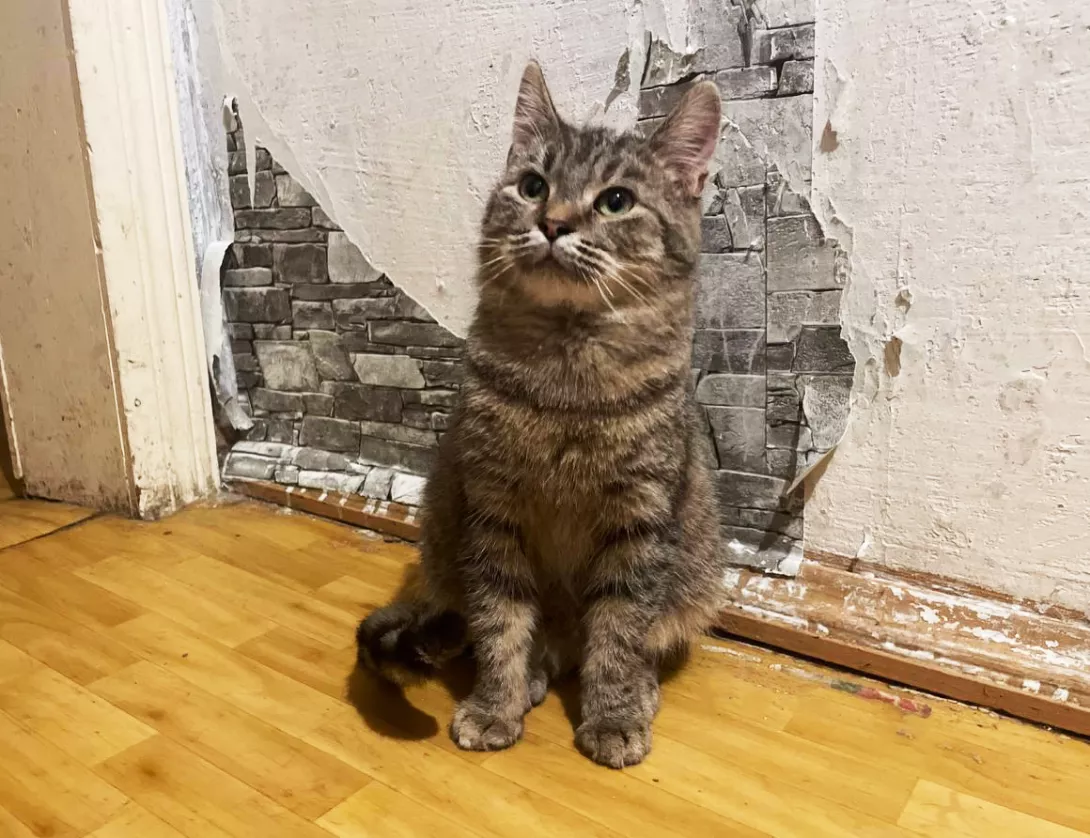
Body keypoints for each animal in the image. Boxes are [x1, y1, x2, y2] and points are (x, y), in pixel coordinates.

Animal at [357, 61, 725, 769]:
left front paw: (612, 715)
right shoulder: (492, 507)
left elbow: (620, 630)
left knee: (634, 641)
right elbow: (499, 621)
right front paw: (494, 703)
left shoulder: (640, 520)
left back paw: (635, 688)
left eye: (616, 200)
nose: (553, 221)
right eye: (533, 186)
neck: (565, 377)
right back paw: (530, 673)